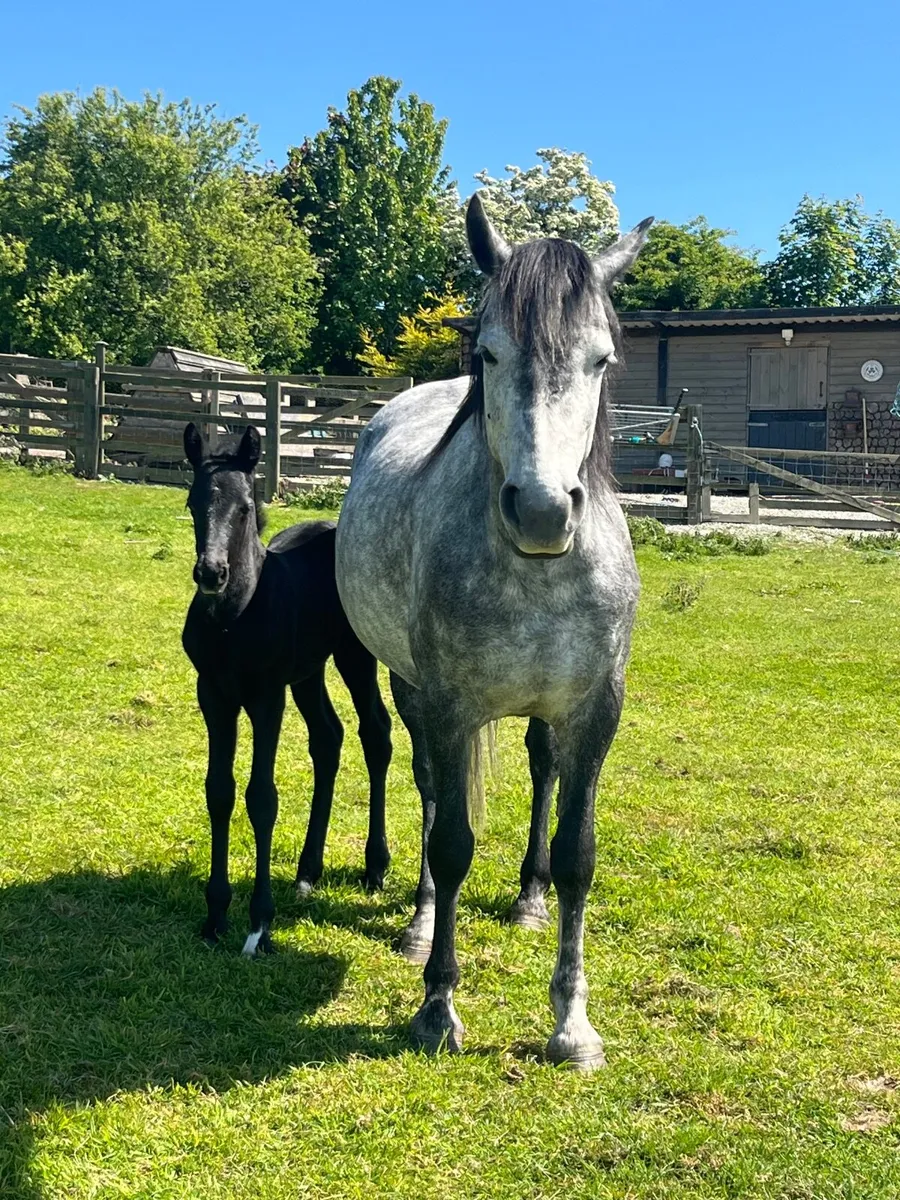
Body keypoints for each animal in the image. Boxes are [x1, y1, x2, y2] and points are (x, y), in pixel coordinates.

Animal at [181, 422, 392, 956]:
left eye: (244, 508)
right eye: (193, 502)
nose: (211, 573)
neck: (235, 618)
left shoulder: (265, 698)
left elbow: (262, 797)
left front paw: (259, 924)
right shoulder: (214, 696)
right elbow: (219, 791)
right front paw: (215, 915)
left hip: (354, 657)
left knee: (375, 734)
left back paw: (375, 865)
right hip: (308, 673)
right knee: (328, 738)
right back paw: (307, 870)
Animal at [335, 194, 652, 1069]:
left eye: (602, 360)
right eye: (490, 352)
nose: (542, 512)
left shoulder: (595, 712)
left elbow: (580, 855)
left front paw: (572, 1024)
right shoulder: (448, 706)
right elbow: (450, 840)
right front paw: (436, 1007)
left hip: (545, 713)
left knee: (541, 770)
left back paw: (528, 898)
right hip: (410, 691)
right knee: (427, 792)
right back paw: (418, 922)